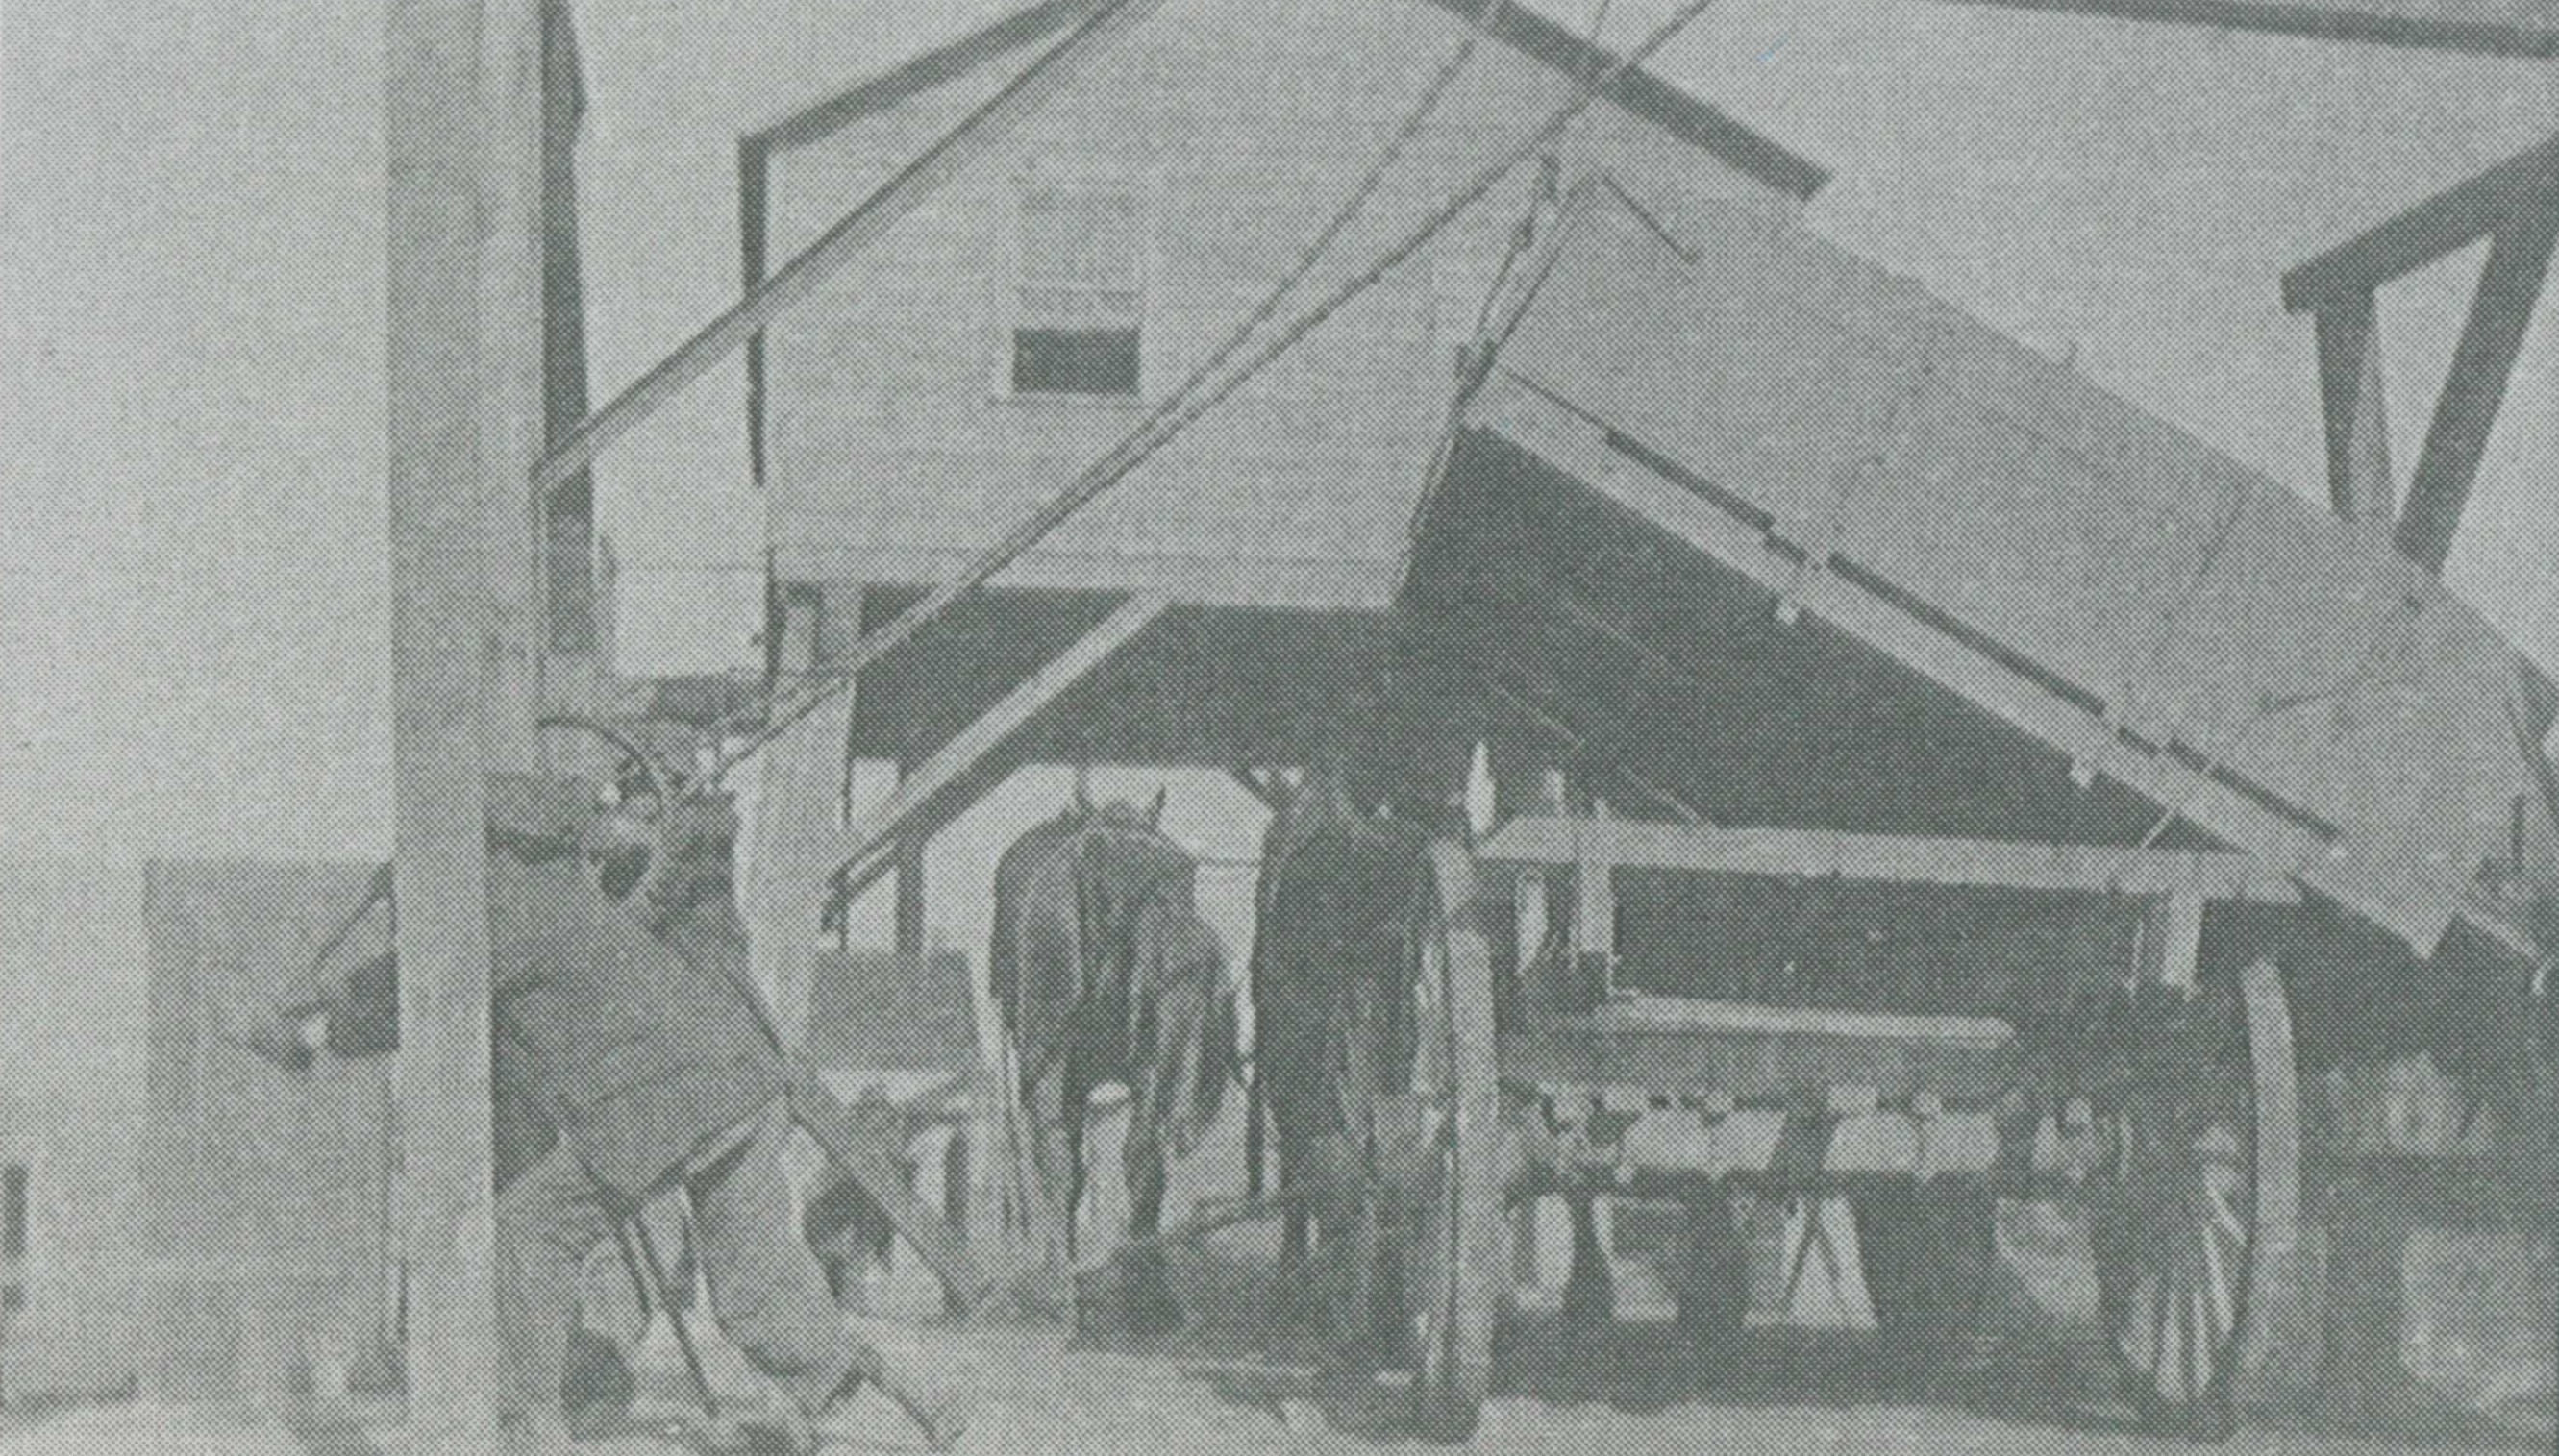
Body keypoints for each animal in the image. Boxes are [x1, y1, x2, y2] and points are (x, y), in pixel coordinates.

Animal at [989, 790, 1238, 1333]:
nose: (1206, 959)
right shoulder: (1047, 1006)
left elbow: (1143, 1151)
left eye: (1187, 874)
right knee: (1058, 1145)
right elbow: (1056, 1147)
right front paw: (1062, 1297)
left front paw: (1151, 1301)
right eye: (1110, 890)